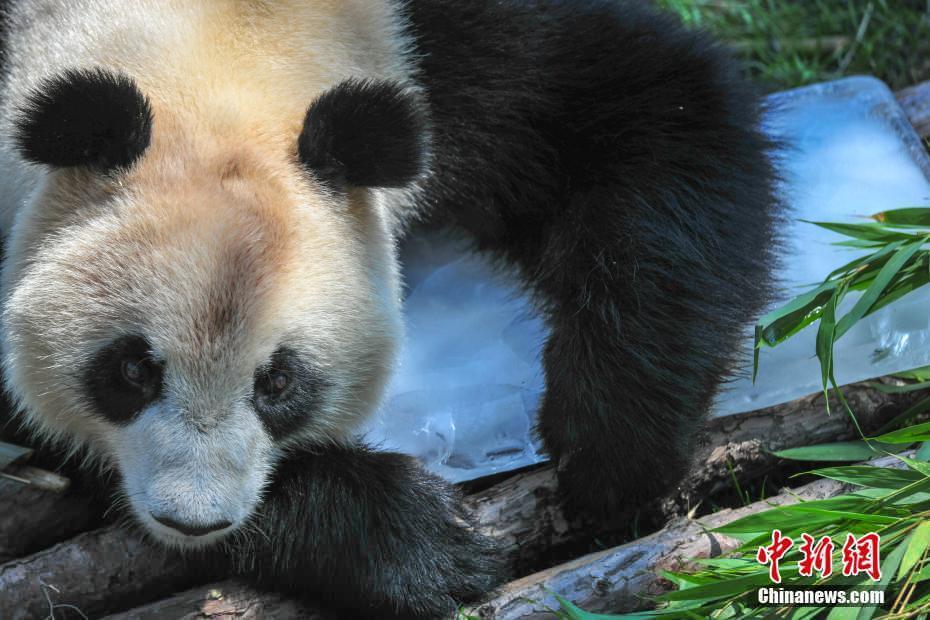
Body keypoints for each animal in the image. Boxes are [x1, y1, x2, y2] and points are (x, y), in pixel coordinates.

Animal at [0, 0, 776, 616]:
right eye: (132, 370)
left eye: (279, 382)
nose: (193, 522)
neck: (214, 59)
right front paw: (422, 543)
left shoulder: (444, 49)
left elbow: (657, 105)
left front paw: (613, 445)